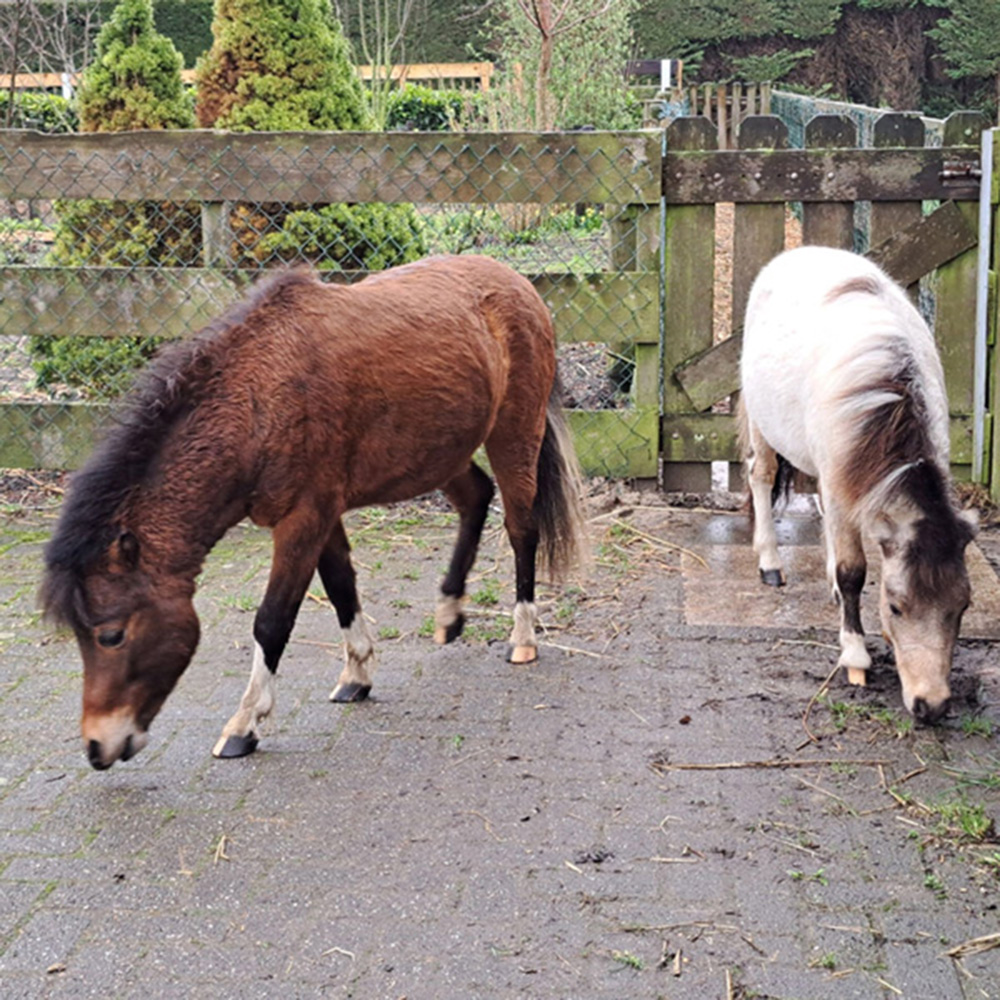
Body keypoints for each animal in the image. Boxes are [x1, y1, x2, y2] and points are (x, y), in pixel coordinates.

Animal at [41, 255, 588, 770]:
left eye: (111, 635)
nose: (98, 747)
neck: (259, 399)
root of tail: (518, 283)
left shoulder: (304, 519)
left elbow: (272, 620)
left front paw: (245, 723)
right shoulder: (321, 515)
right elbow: (341, 586)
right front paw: (357, 674)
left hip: (514, 434)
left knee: (521, 529)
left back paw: (522, 636)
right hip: (438, 453)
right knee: (476, 497)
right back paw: (450, 611)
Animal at [739, 246, 976, 723]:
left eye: (962, 606)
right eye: (896, 606)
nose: (931, 705)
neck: (888, 392)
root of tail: (800, 253)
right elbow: (854, 571)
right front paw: (855, 656)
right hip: (762, 425)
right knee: (762, 475)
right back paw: (770, 562)